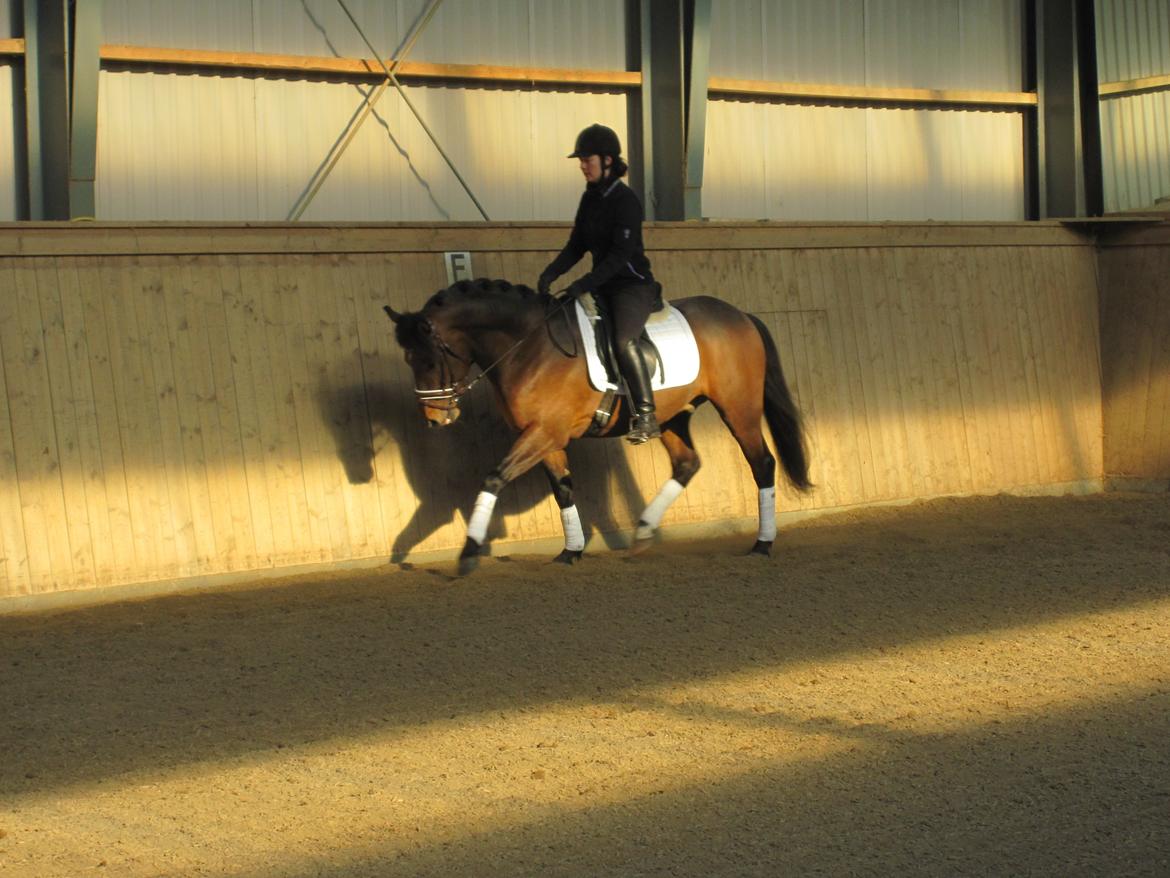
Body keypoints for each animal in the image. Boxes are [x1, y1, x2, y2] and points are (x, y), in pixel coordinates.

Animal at [388, 278, 809, 573]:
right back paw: (643, 532)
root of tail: (740, 315)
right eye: (407, 359)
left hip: (738, 409)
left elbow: (494, 477)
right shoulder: (546, 438)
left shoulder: (545, 432)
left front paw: (469, 552)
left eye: (428, 360)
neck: (529, 349)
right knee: (687, 463)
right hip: (672, 416)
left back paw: (762, 545)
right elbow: (562, 490)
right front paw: (570, 552)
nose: (435, 418)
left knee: (762, 464)